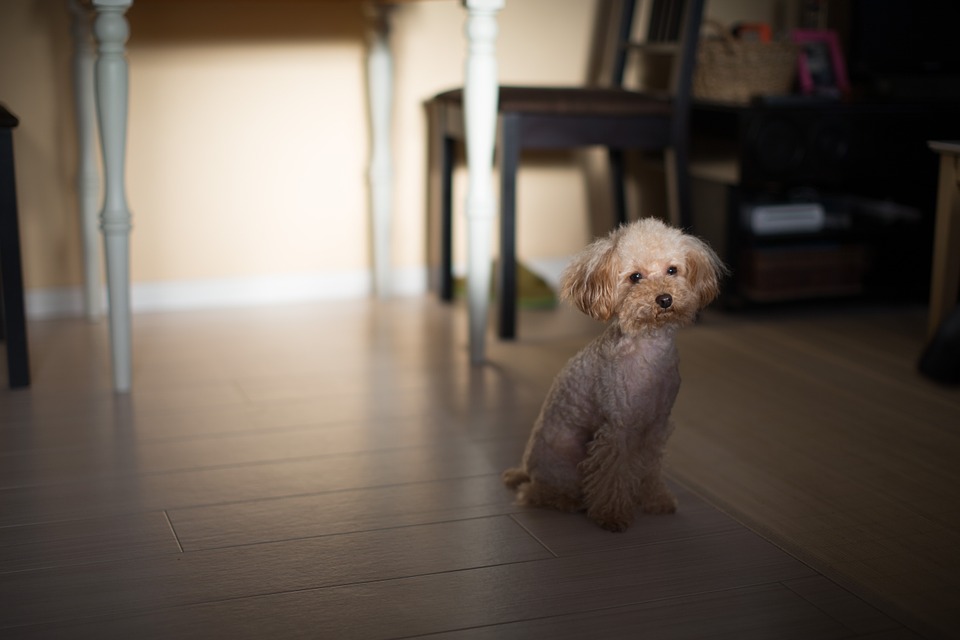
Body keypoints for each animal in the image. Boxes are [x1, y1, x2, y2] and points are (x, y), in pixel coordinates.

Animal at [506, 218, 724, 532]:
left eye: (672, 270)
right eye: (635, 277)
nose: (665, 299)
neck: (649, 351)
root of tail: (526, 469)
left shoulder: (655, 426)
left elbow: (650, 468)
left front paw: (656, 501)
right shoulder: (617, 430)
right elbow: (612, 475)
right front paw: (612, 515)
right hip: (565, 464)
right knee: (535, 492)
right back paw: (567, 500)